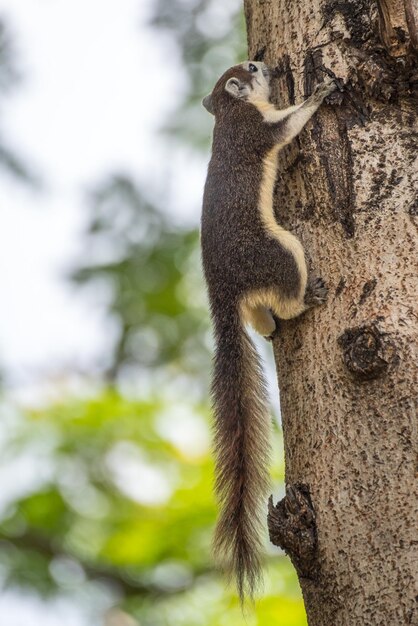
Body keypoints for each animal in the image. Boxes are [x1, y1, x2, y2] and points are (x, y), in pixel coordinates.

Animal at [200, 59, 336, 600]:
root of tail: (222, 288)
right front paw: (320, 91)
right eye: (253, 68)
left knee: (258, 313)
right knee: (286, 290)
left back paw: (269, 324)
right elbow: (287, 126)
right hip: (280, 253)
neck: (227, 110)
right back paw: (304, 301)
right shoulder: (257, 129)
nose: (273, 65)